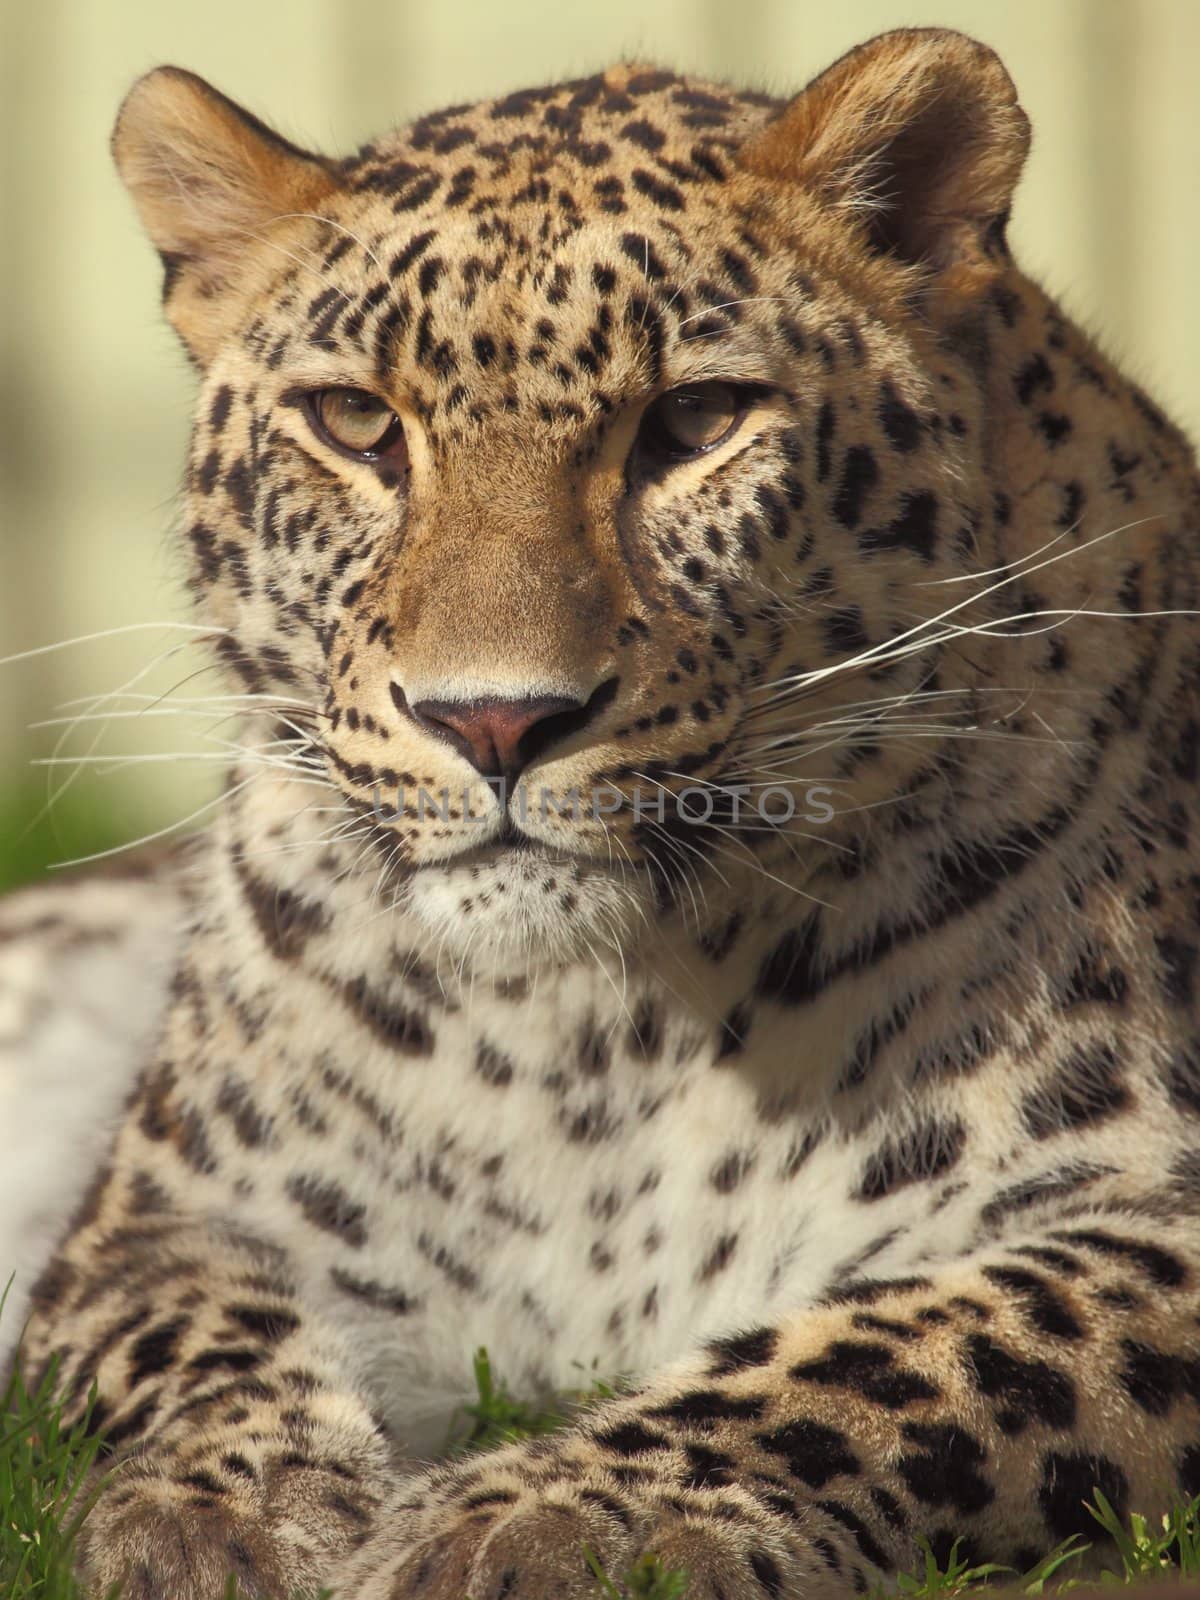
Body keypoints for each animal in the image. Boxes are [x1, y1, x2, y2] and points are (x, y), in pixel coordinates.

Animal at [2, 25, 1200, 1600]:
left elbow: (885, 1357)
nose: (494, 721)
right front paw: (219, 1510)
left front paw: (558, 1518)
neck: (586, 1039)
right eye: (355, 422)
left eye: (693, 420)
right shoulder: (170, 1215)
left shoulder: (1148, 1215)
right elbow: (204, 1348)